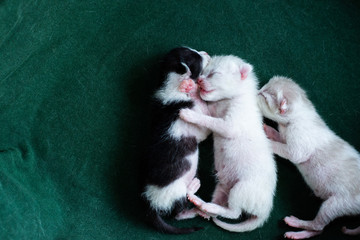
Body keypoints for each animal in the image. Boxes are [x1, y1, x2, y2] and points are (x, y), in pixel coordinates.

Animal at [142, 47, 211, 234]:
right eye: (197, 57)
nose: (207, 54)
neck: (170, 84)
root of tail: (150, 205)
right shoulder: (197, 124)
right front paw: (190, 86)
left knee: (179, 213)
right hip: (174, 191)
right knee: (179, 210)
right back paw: (194, 191)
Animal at [179, 55, 278, 232]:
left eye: (214, 74)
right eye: (204, 72)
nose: (199, 80)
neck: (227, 100)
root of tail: (264, 213)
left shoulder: (230, 125)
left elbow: (209, 120)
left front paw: (189, 114)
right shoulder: (213, 111)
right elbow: (205, 111)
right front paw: (191, 88)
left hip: (241, 189)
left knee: (234, 213)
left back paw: (206, 206)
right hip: (223, 188)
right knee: (219, 210)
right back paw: (200, 205)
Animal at [258, 76, 360, 239]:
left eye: (262, 95)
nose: (256, 90)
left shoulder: (297, 148)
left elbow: (285, 149)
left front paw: (267, 140)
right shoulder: (286, 136)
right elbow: (279, 137)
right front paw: (269, 130)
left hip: (338, 203)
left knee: (318, 225)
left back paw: (295, 222)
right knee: (319, 230)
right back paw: (298, 234)